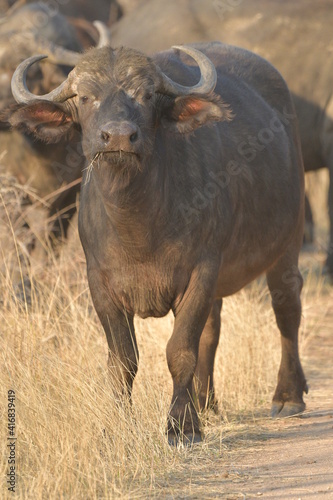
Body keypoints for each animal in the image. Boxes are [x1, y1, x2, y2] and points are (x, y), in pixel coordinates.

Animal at [9, 43, 308, 442]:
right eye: (86, 97)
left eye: (147, 95)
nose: (119, 136)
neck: (138, 226)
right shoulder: (101, 285)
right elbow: (123, 361)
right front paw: (118, 426)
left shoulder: (201, 272)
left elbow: (180, 350)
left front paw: (182, 425)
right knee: (212, 332)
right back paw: (207, 403)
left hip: (288, 242)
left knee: (286, 309)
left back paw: (288, 396)